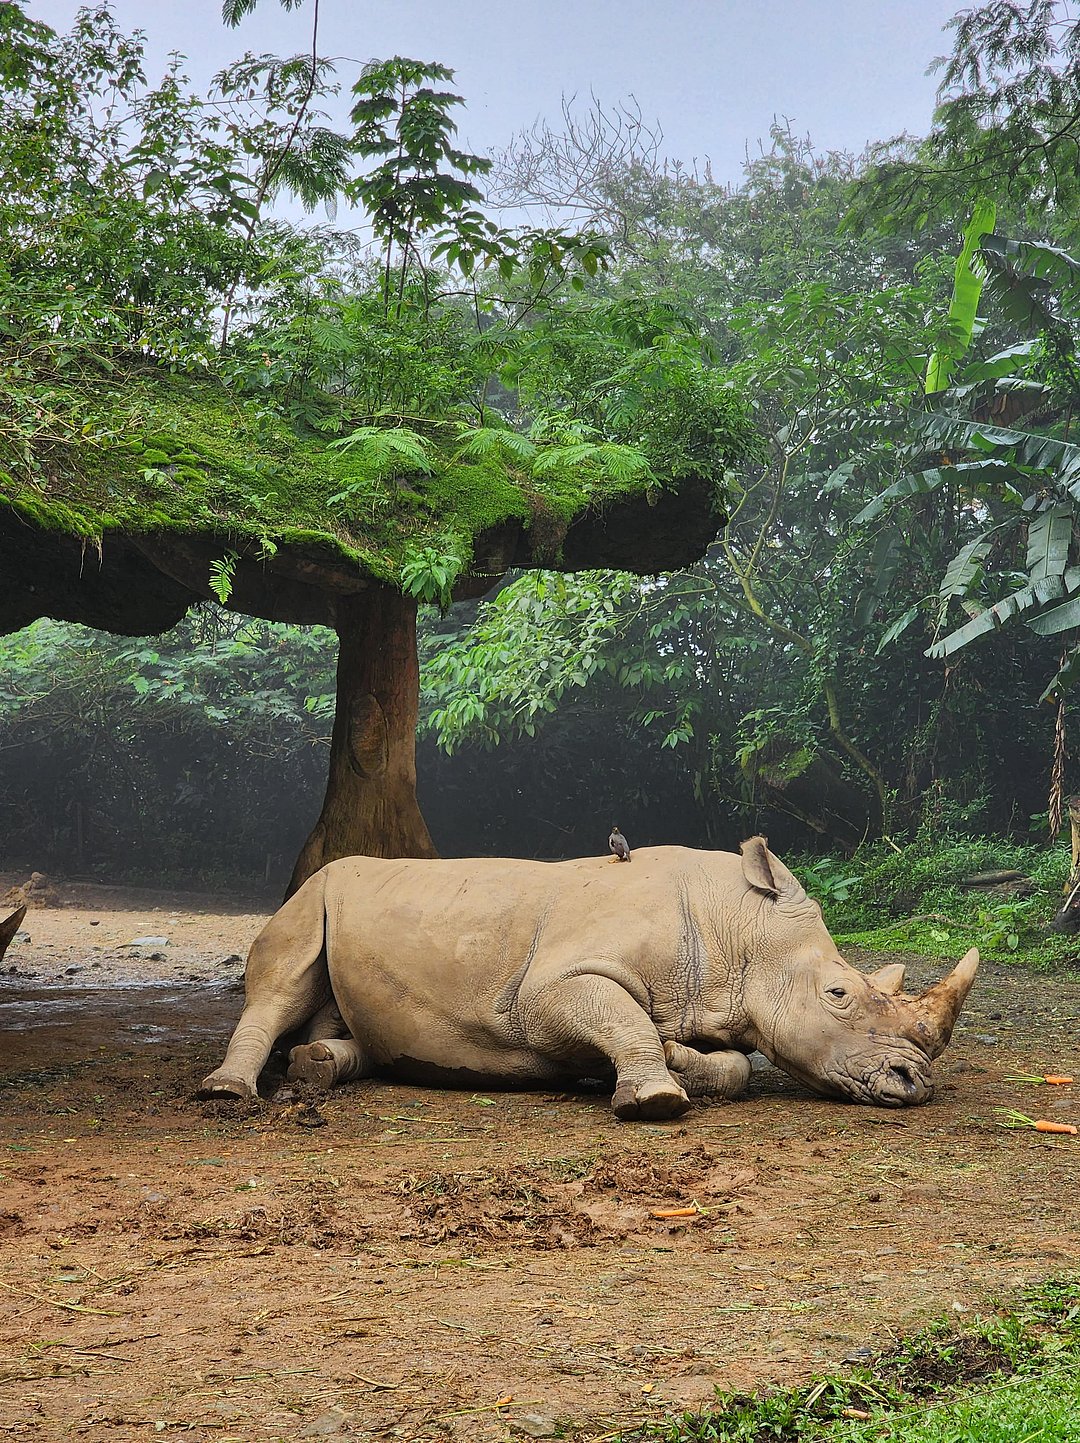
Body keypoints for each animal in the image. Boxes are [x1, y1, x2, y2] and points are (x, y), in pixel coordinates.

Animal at [199, 839, 979, 1119]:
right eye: (838, 995)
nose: (915, 1083)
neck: (735, 924)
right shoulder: (548, 988)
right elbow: (623, 1018)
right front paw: (657, 1097)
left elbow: (733, 1066)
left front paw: (678, 1060)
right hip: (313, 893)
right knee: (281, 982)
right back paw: (229, 1094)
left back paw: (318, 1064)